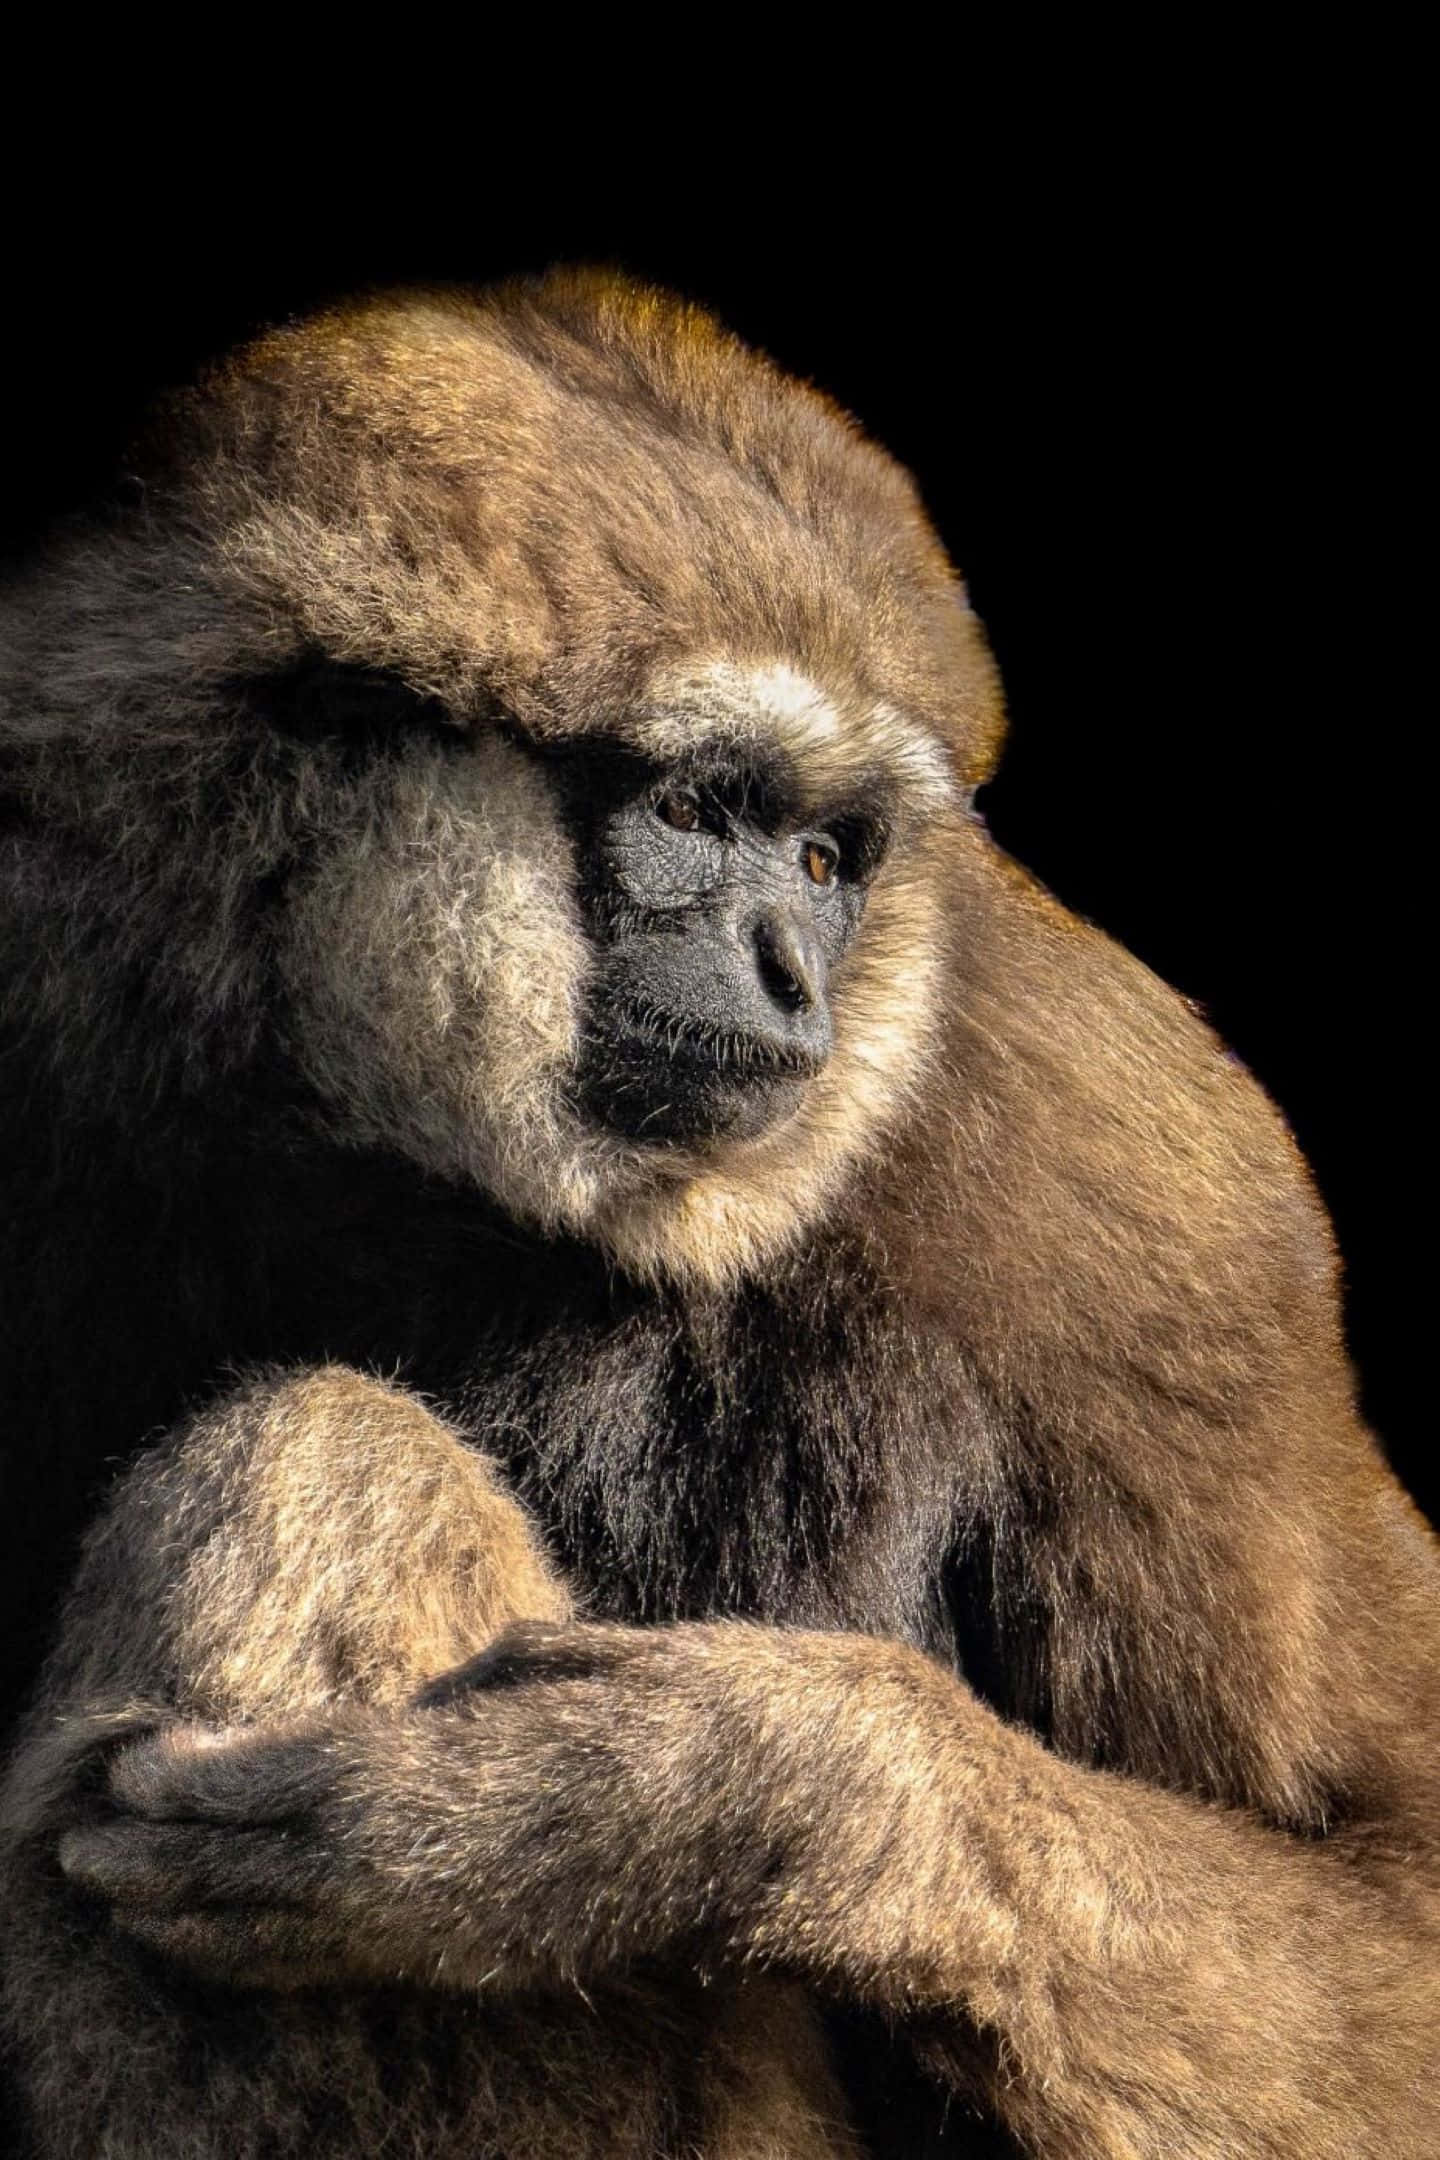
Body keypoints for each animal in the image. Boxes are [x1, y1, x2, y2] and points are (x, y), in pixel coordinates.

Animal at [0, 270, 1436, 2159]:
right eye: (695, 812)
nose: (790, 966)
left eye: (826, 861)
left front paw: (670, 1791)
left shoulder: (1157, 1206)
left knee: (319, 1454)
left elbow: (1395, 1911)